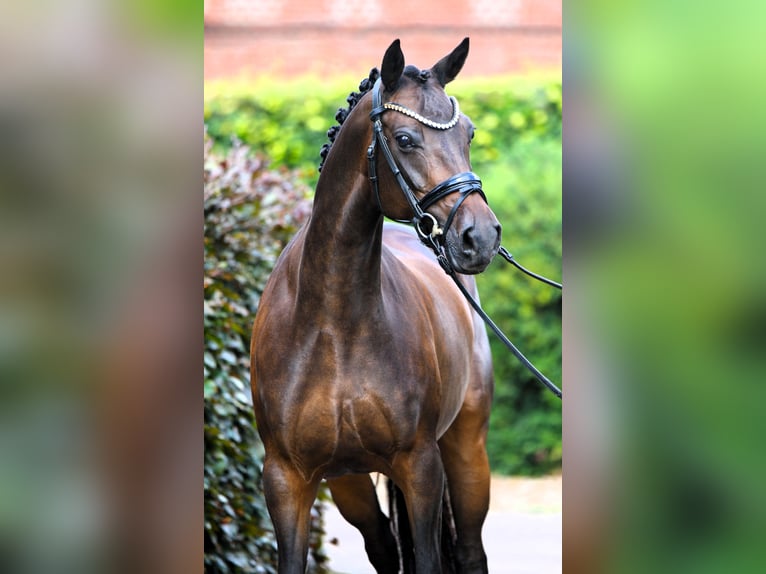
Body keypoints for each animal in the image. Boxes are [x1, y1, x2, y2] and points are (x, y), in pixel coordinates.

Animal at [250, 38, 504, 572]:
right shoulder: (288, 478)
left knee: (470, 550)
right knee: (383, 545)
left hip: (466, 449)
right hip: (350, 482)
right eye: (405, 139)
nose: (480, 237)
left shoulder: (420, 465)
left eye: (469, 133)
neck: (333, 327)